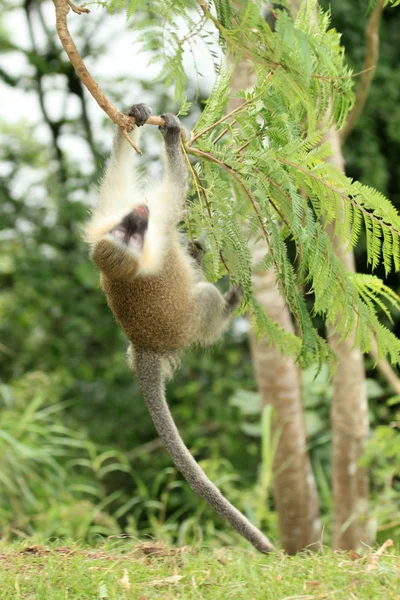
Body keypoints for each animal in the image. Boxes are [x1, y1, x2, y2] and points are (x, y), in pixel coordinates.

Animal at [85, 103, 276, 552]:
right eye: (131, 234)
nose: (140, 214)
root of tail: (144, 348)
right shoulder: (159, 223)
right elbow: (176, 185)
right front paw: (172, 138)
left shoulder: (105, 219)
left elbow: (117, 175)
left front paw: (131, 120)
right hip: (190, 322)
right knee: (204, 301)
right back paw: (230, 299)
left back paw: (199, 252)